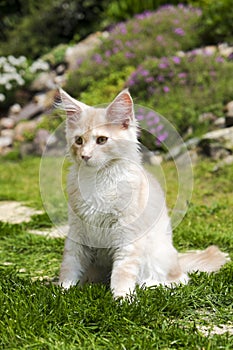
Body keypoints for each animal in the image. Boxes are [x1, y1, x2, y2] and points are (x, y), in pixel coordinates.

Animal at [57, 89, 229, 300]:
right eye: (79, 141)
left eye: (102, 140)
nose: (85, 156)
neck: (97, 179)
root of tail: (178, 259)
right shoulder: (77, 230)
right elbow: (70, 264)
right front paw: (62, 292)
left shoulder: (128, 233)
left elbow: (122, 270)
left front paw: (122, 299)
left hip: (157, 254)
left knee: (179, 279)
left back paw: (150, 285)